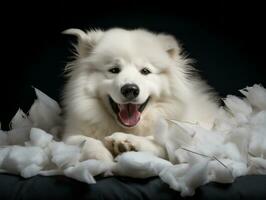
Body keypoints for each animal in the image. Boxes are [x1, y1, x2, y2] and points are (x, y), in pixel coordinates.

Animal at [61, 27, 218, 161]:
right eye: (114, 70)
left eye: (145, 71)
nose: (130, 89)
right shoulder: (68, 135)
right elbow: (85, 140)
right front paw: (101, 156)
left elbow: (159, 143)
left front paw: (126, 141)